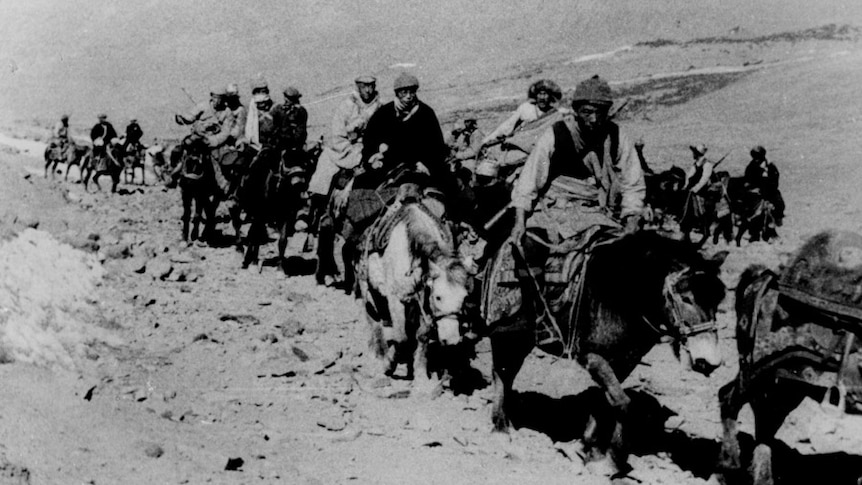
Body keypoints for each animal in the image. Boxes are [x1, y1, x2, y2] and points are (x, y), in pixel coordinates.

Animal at [360, 197, 480, 394]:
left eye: (464, 298)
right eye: (438, 297)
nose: (452, 340)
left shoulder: (422, 302)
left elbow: (422, 337)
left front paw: (422, 377)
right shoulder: (395, 300)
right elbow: (400, 338)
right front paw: (387, 365)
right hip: (369, 290)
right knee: (374, 321)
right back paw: (376, 354)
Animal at [486, 231, 728, 476]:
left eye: (718, 299)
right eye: (685, 298)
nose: (709, 361)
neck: (619, 296)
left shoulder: (623, 362)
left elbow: (603, 402)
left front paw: (587, 449)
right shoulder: (593, 357)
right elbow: (623, 403)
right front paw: (610, 460)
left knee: (508, 374)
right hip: (507, 335)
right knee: (502, 374)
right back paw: (500, 430)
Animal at [716, 229, 862, 482]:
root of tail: (763, 278)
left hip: (787, 383)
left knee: (764, 425)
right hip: (762, 372)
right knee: (732, 400)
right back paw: (729, 464)